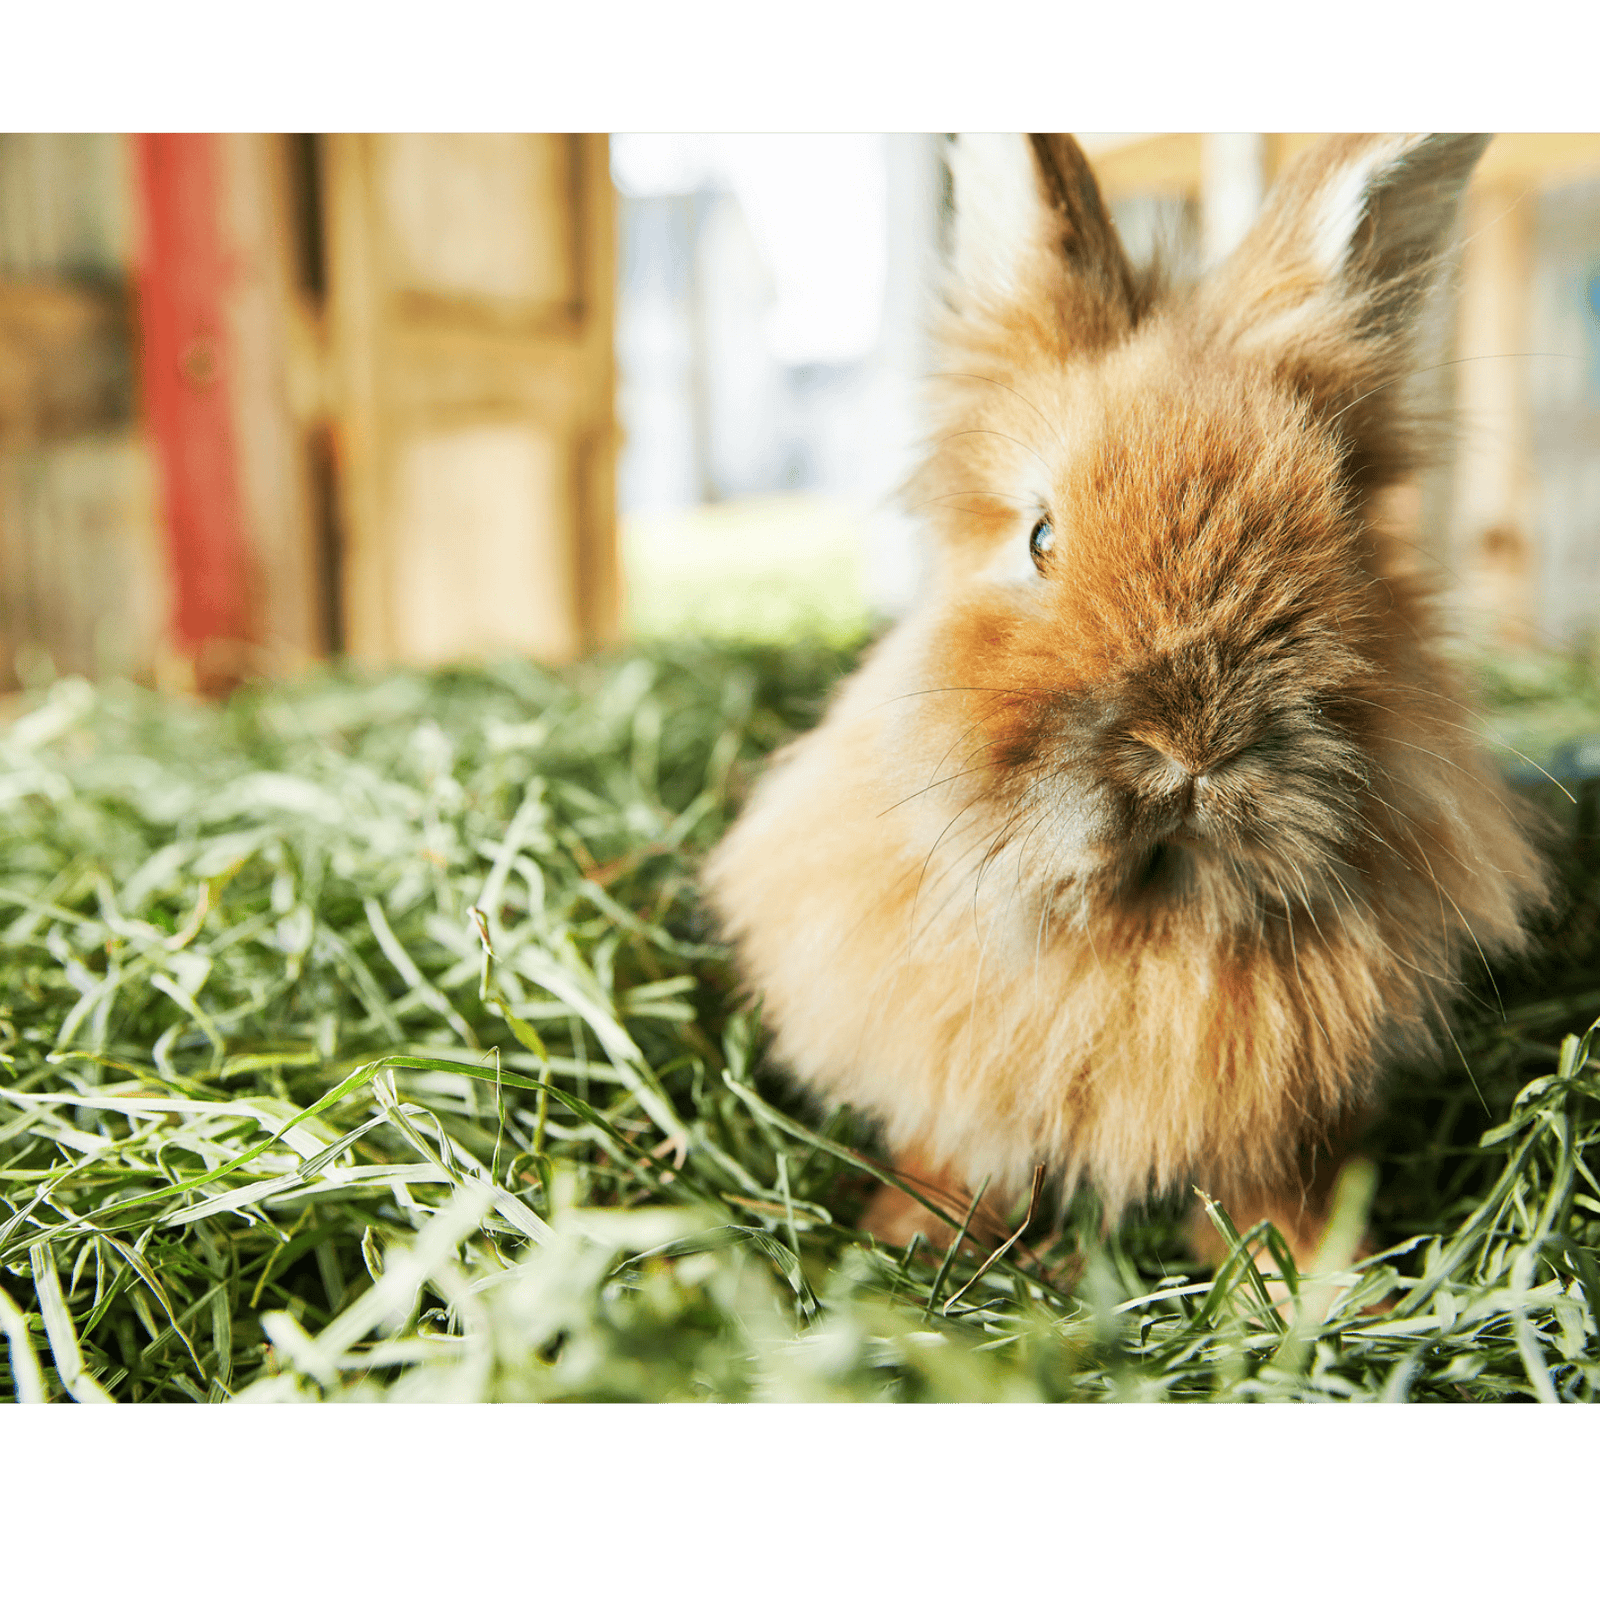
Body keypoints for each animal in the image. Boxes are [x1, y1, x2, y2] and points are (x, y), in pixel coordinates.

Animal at [703, 131, 1552, 1264]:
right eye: (1039, 538)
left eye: (1343, 536)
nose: (1192, 747)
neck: (1144, 922)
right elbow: (961, 1159)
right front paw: (911, 1240)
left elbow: (1279, 1196)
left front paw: (1316, 1280)